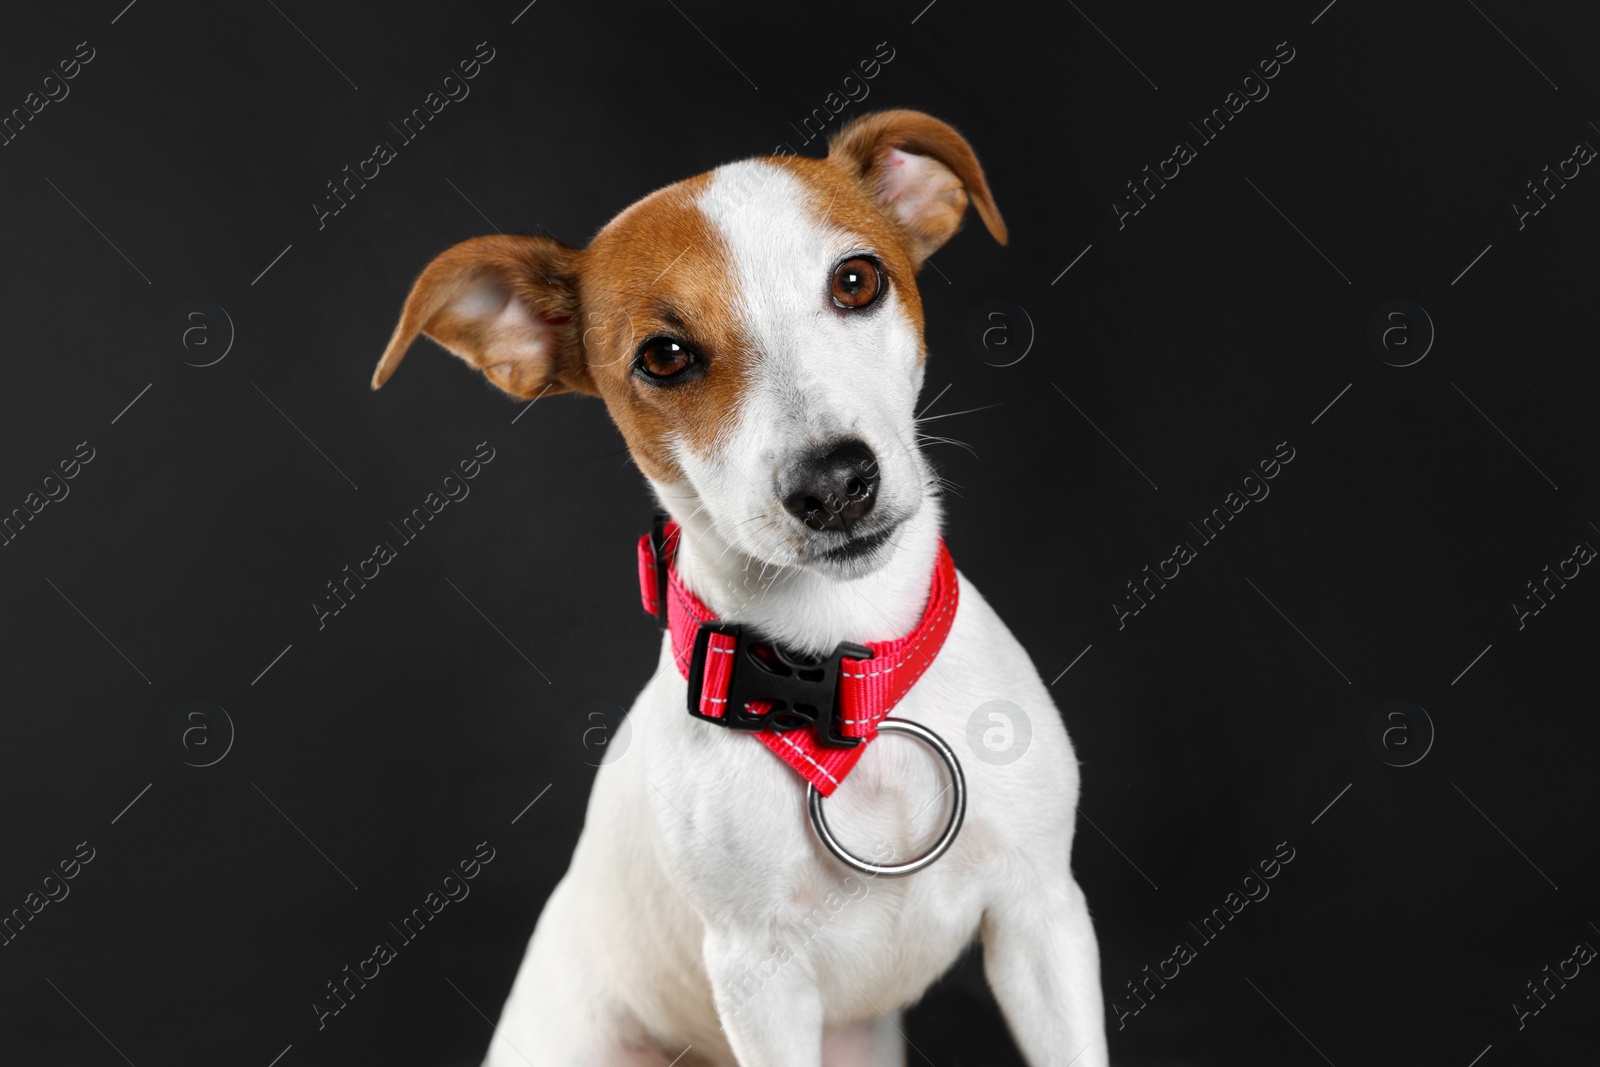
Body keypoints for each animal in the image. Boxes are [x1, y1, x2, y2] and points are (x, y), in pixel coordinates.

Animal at [369, 108, 1107, 1067]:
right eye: (665, 356)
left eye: (857, 280)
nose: (834, 483)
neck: (847, 677)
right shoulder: (761, 980)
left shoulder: (1042, 918)